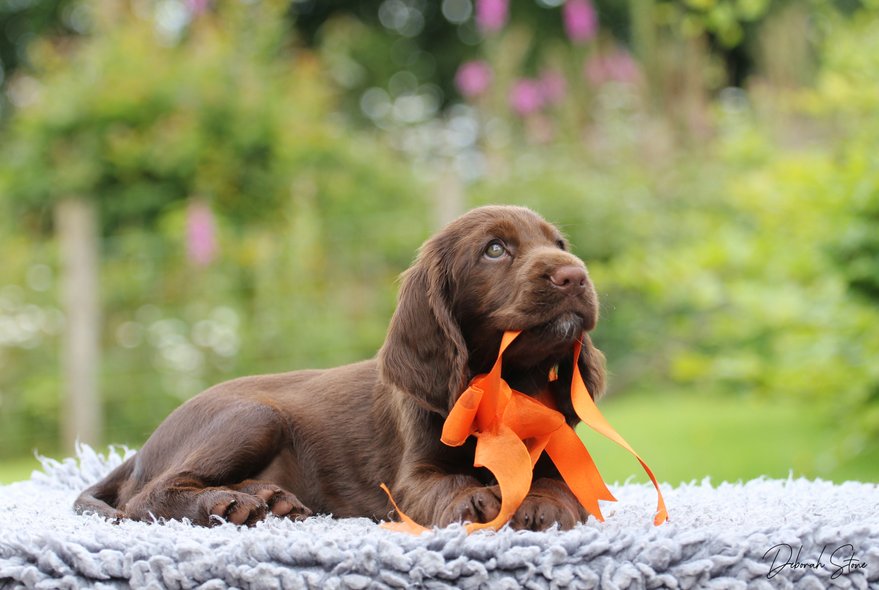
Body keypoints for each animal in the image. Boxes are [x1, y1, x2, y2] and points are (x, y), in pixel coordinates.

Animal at [77, 207, 604, 532]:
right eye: (495, 249)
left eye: (559, 243)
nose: (575, 275)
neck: (506, 385)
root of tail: (142, 450)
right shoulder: (409, 480)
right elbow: (444, 484)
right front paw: (472, 499)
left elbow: (561, 483)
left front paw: (544, 502)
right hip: (254, 415)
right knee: (146, 497)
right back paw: (226, 503)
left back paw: (268, 498)